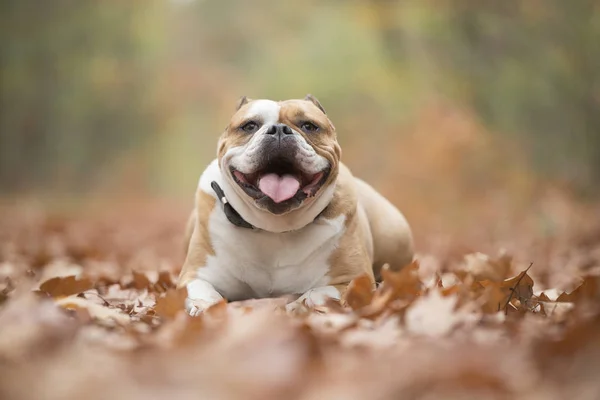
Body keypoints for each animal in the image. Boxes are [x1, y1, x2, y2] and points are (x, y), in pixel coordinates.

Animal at [176, 95, 414, 314]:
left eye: (309, 126)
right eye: (250, 126)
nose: (279, 129)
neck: (274, 228)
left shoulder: (352, 281)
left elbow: (318, 293)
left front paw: (299, 305)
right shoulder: (194, 276)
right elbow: (204, 292)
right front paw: (204, 307)